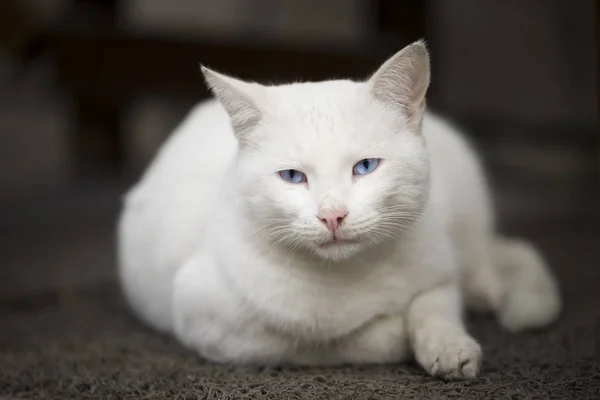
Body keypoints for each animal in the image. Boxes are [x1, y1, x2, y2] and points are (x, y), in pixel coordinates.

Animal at [118, 41, 564, 382]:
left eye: (365, 167)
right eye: (292, 176)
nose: (332, 216)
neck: (350, 273)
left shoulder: (439, 268)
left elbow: (434, 306)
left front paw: (451, 348)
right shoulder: (211, 323)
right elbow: (326, 342)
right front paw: (396, 334)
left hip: (467, 228)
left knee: (508, 251)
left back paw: (508, 299)